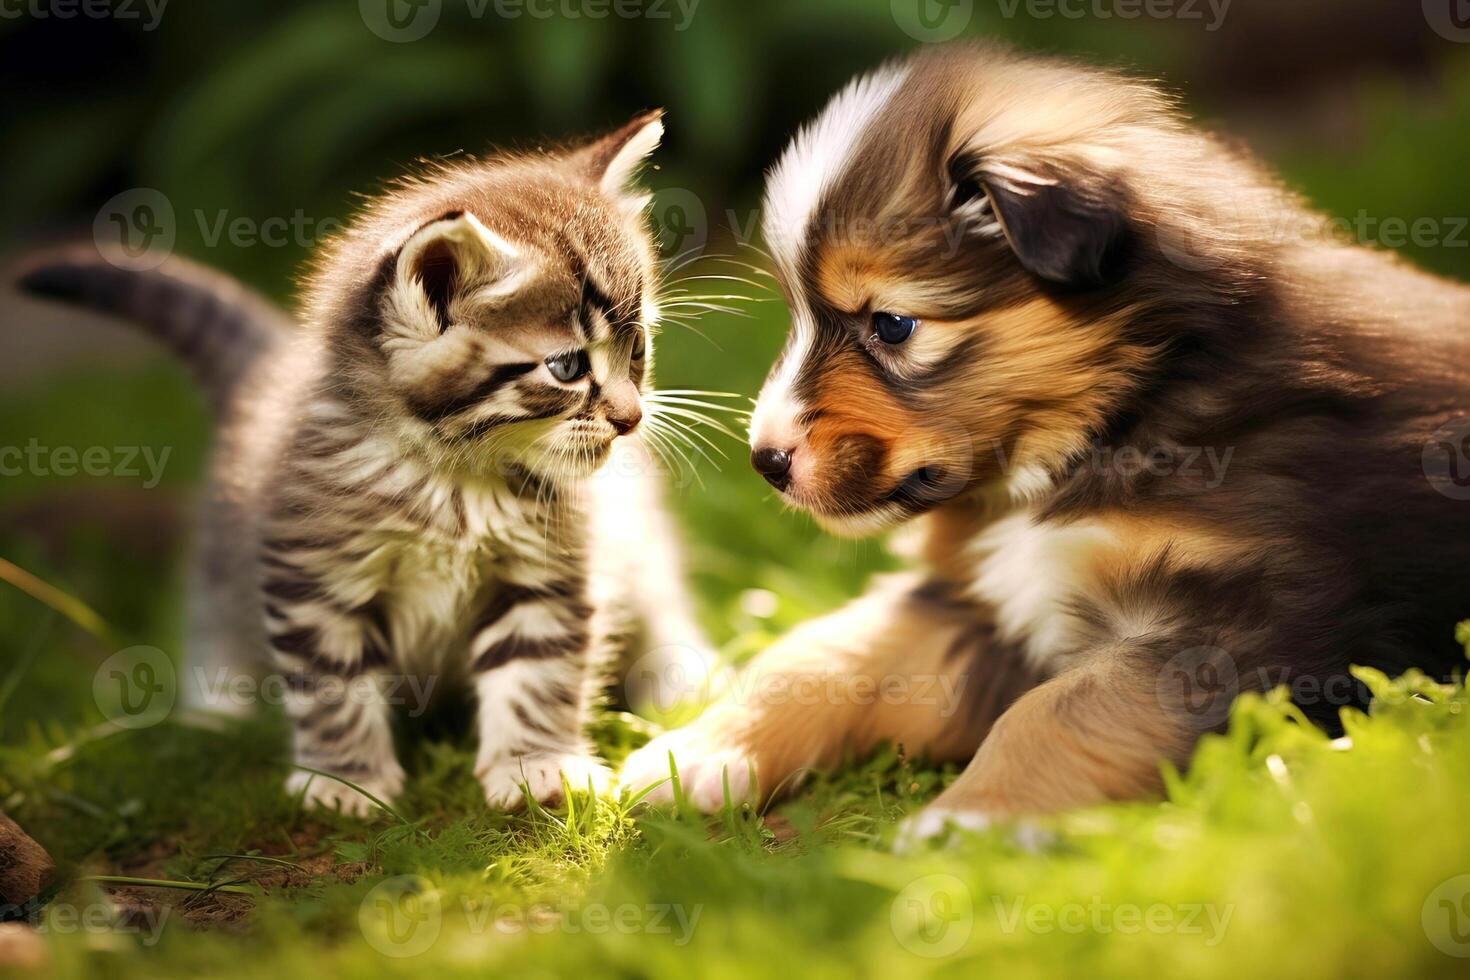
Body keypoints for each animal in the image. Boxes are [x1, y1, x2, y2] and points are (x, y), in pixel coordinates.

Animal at [20, 110, 714, 816]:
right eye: (568, 366)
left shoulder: (550, 566)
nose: (630, 418)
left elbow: (538, 668)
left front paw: (535, 763)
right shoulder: (312, 574)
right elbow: (332, 682)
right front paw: (344, 780)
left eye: (638, 348)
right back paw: (216, 712)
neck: (453, 477)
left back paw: (677, 675)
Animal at [617, 42, 1470, 840]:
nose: (765, 461)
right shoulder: (978, 600)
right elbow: (820, 653)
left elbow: (1064, 708)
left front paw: (970, 823)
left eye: (891, 324)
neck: (1120, 417)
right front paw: (694, 755)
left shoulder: (1235, 622)